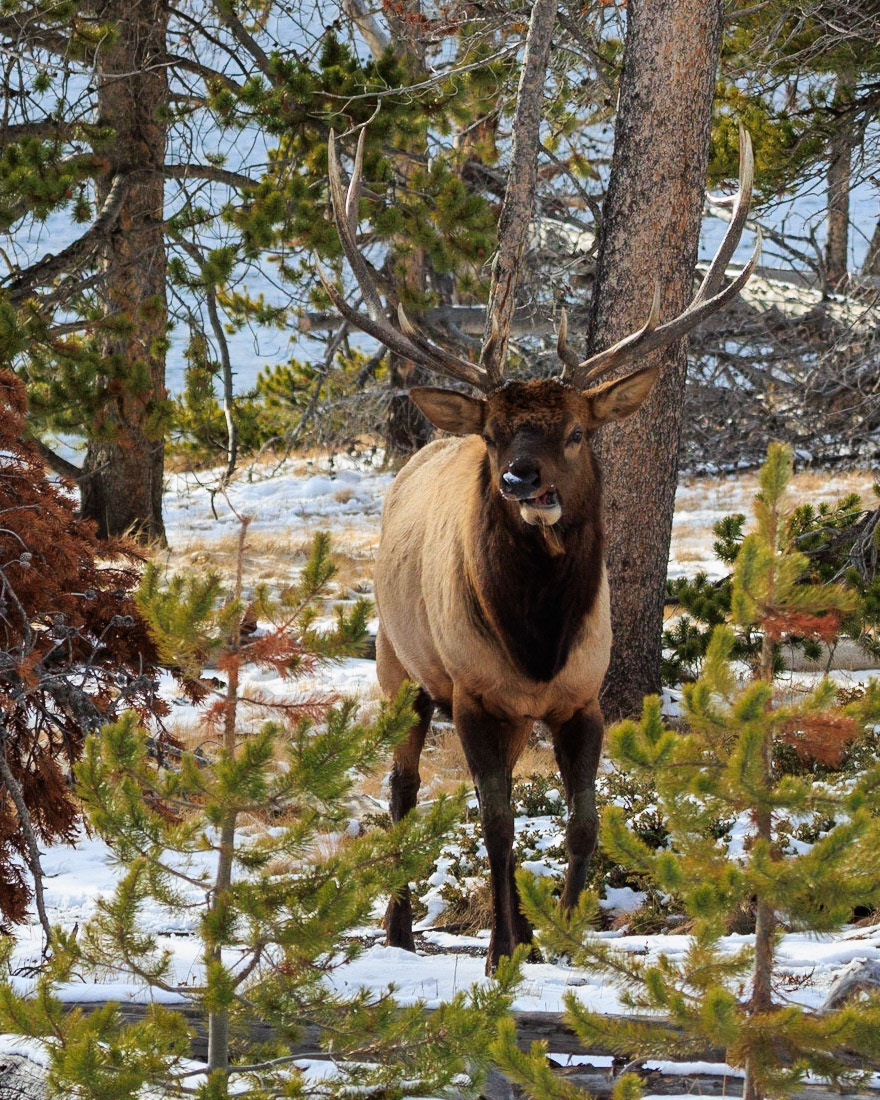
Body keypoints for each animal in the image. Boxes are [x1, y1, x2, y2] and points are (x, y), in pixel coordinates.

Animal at [321, 127, 760, 973]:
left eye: (577, 431)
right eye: (496, 434)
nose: (521, 478)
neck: (538, 640)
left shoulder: (581, 698)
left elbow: (582, 821)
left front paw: (562, 929)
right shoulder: (473, 693)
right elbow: (495, 826)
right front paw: (500, 949)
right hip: (400, 666)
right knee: (403, 790)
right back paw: (399, 925)